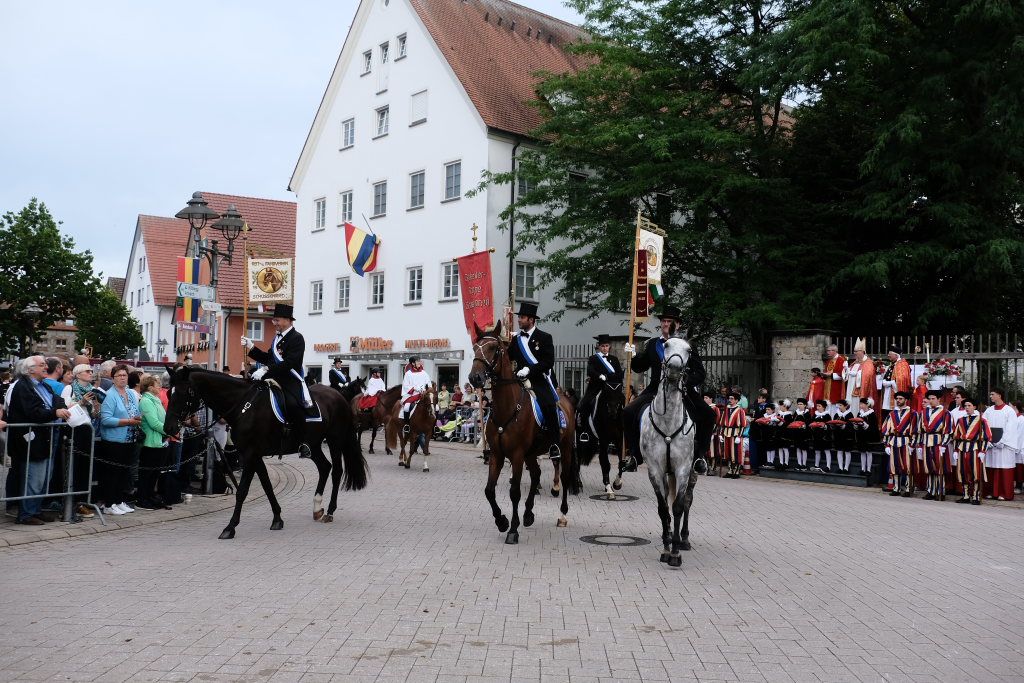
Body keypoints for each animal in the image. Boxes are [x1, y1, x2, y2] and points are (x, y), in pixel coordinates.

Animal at [163, 366, 369, 539]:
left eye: (183, 393)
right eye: (168, 392)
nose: (168, 428)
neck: (243, 406)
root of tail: (339, 396)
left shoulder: (250, 454)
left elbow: (242, 491)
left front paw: (230, 527)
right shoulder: (254, 455)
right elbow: (267, 485)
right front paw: (277, 518)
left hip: (335, 440)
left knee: (336, 471)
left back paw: (330, 511)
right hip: (314, 444)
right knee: (325, 467)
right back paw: (317, 508)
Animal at [469, 321, 579, 544]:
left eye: (493, 348)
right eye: (475, 348)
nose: (474, 378)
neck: (507, 408)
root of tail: (565, 398)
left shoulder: (517, 455)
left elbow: (514, 492)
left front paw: (512, 529)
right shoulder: (497, 455)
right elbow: (489, 490)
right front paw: (501, 521)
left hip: (563, 449)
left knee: (563, 477)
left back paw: (562, 515)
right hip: (531, 453)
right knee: (536, 475)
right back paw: (528, 514)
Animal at [639, 336, 699, 568]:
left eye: (689, 350)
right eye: (665, 345)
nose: (673, 368)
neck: (668, 421)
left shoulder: (683, 468)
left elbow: (678, 506)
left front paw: (675, 553)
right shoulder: (655, 470)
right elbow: (663, 508)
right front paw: (666, 548)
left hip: (691, 473)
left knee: (688, 501)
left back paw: (684, 539)